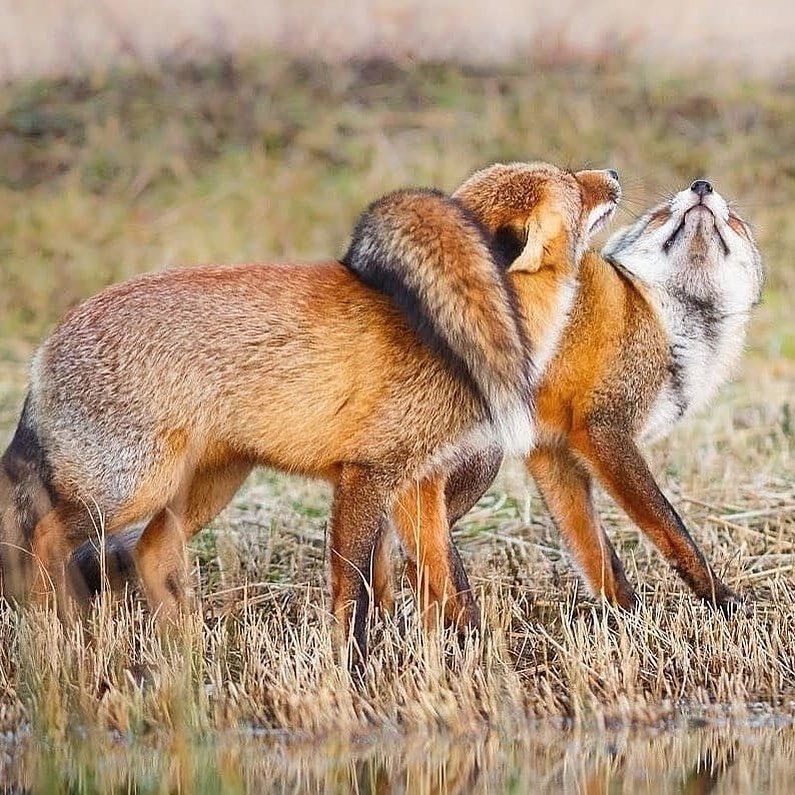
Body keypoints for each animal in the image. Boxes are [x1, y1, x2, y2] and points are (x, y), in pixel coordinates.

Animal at [0, 162, 621, 657]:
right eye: (573, 186)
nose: (612, 172)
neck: (454, 337)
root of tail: (43, 350)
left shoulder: (420, 483)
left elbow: (448, 585)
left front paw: (469, 655)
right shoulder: (367, 476)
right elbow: (355, 591)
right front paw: (355, 668)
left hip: (209, 484)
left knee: (151, 551)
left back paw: (186, 652)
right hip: (130, 488)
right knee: (44, 540)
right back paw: (61, 633)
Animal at [384, 179, 763, 623]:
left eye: (733, 221)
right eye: (660, 215)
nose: (702, 186)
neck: (661, 317)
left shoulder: (553, 450)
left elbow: (594, 551)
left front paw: (627, 616)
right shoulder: (604, 430)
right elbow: (674, 531)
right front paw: (720, 598)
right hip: (481, 460)